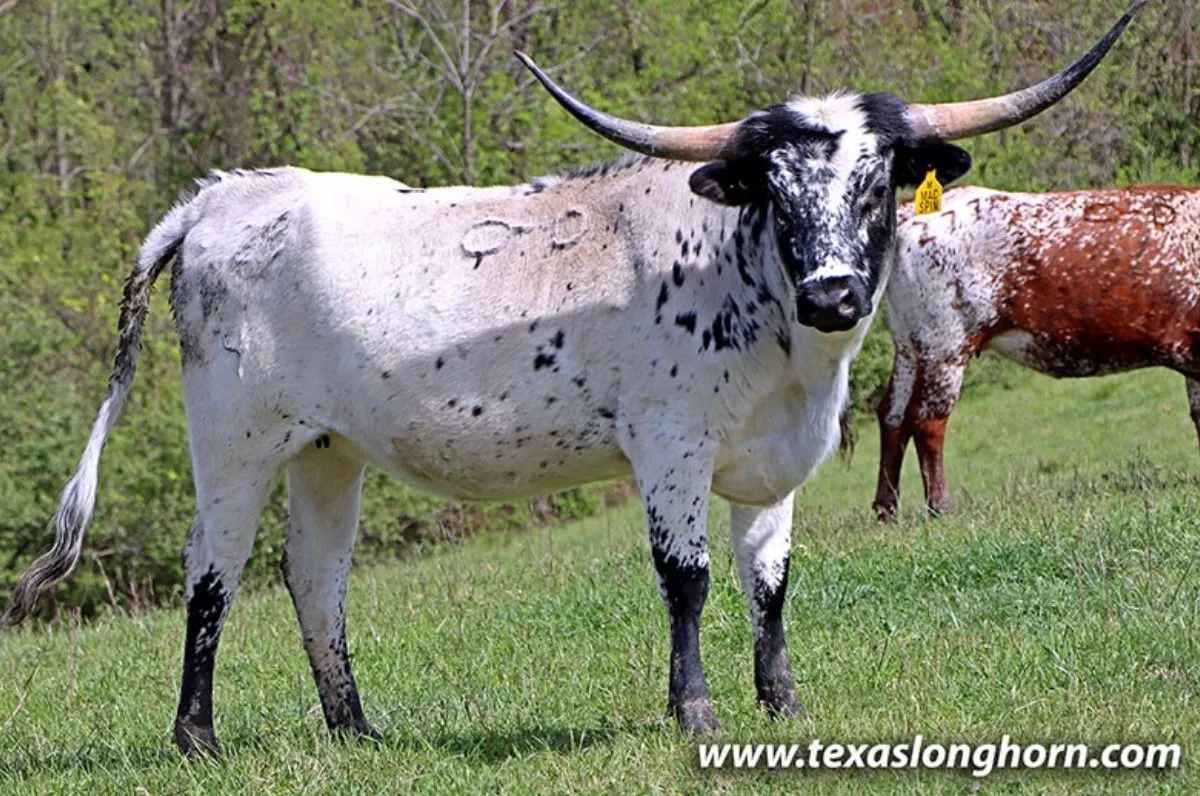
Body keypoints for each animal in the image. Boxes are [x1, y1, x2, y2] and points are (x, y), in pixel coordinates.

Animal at [3, 4, 1142, 755]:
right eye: (773, 189)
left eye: (876, 186)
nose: (830, 294)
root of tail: (219, 197)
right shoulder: (671, 446)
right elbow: (687, 577)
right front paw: (696, 712)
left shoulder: (773, 464)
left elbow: (769, 580)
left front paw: (784, 702)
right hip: (234, 441)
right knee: (213, 573)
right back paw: (196, 737)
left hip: (329, 449)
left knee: (315, 578)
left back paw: (358, 730)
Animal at [874, 181, 1200, 521]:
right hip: (945, 345)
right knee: (927, 420)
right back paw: (940, 505)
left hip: (909, 345)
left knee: (892, 414)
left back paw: (887, 508)